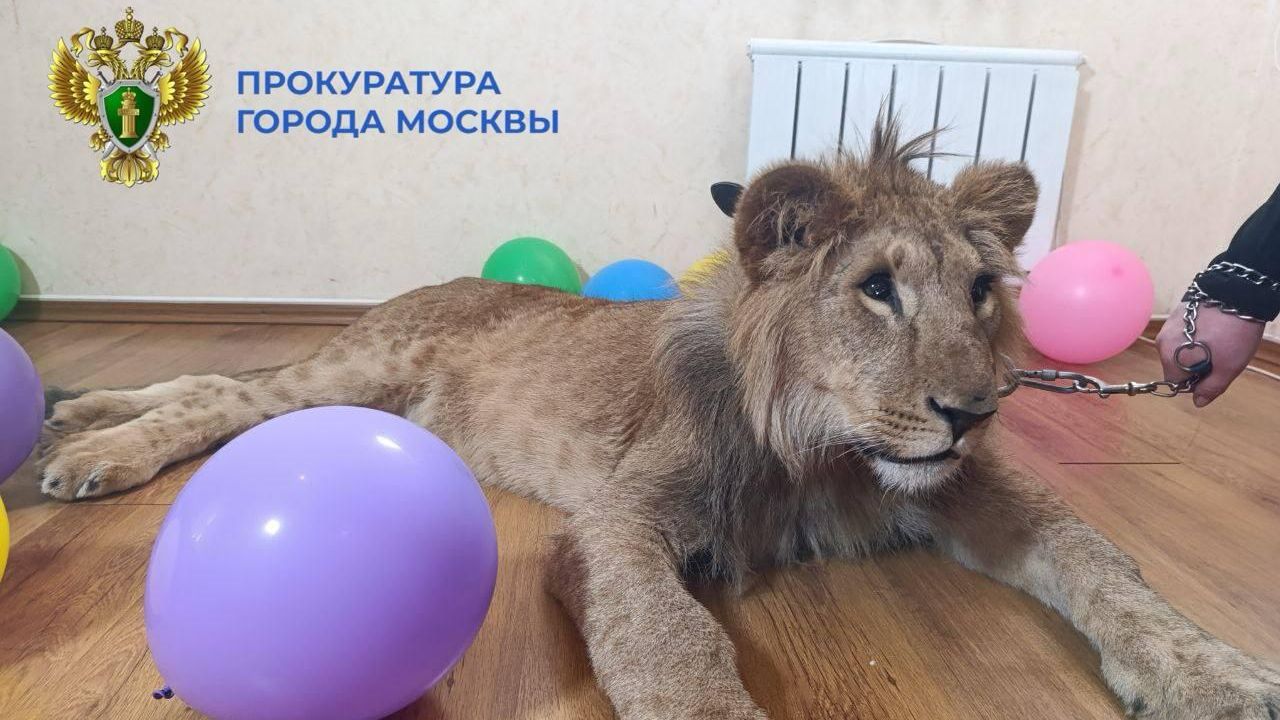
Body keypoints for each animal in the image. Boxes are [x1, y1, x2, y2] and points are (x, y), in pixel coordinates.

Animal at [39, 120, 1279, 719]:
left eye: (980, 289)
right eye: (874, 288)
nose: (971, 413)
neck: (820, 450)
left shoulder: (963, 491)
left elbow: (1100, 560)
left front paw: (1212, 677)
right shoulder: (614, 518)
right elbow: (663, 636)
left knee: (210, 382)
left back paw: (73, 410)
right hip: (358, 374)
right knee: (219, 393)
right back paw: (89, 451)